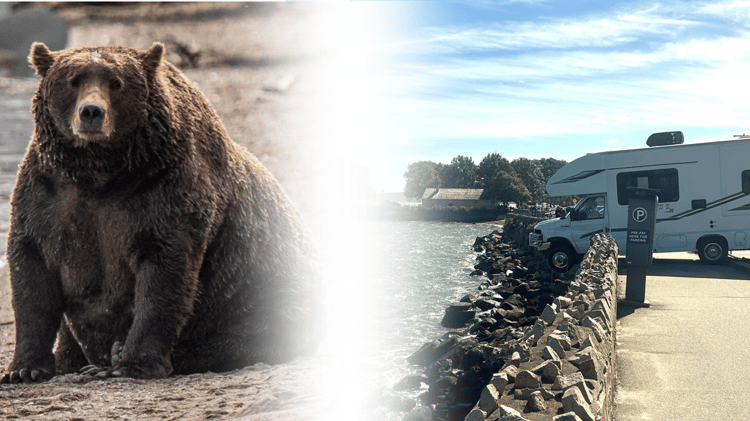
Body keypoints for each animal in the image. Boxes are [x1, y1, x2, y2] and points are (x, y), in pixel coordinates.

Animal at [0, 42, 325, 383]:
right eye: (73, 80)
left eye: (116, 83)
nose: (91, 112)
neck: (100, 172)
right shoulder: (48, 195)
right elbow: (32, 274)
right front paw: (23, 369)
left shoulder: (163, 191)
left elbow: (164, 276)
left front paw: (132, 364)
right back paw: (77, 361)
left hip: (268, 285)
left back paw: (116, 359)